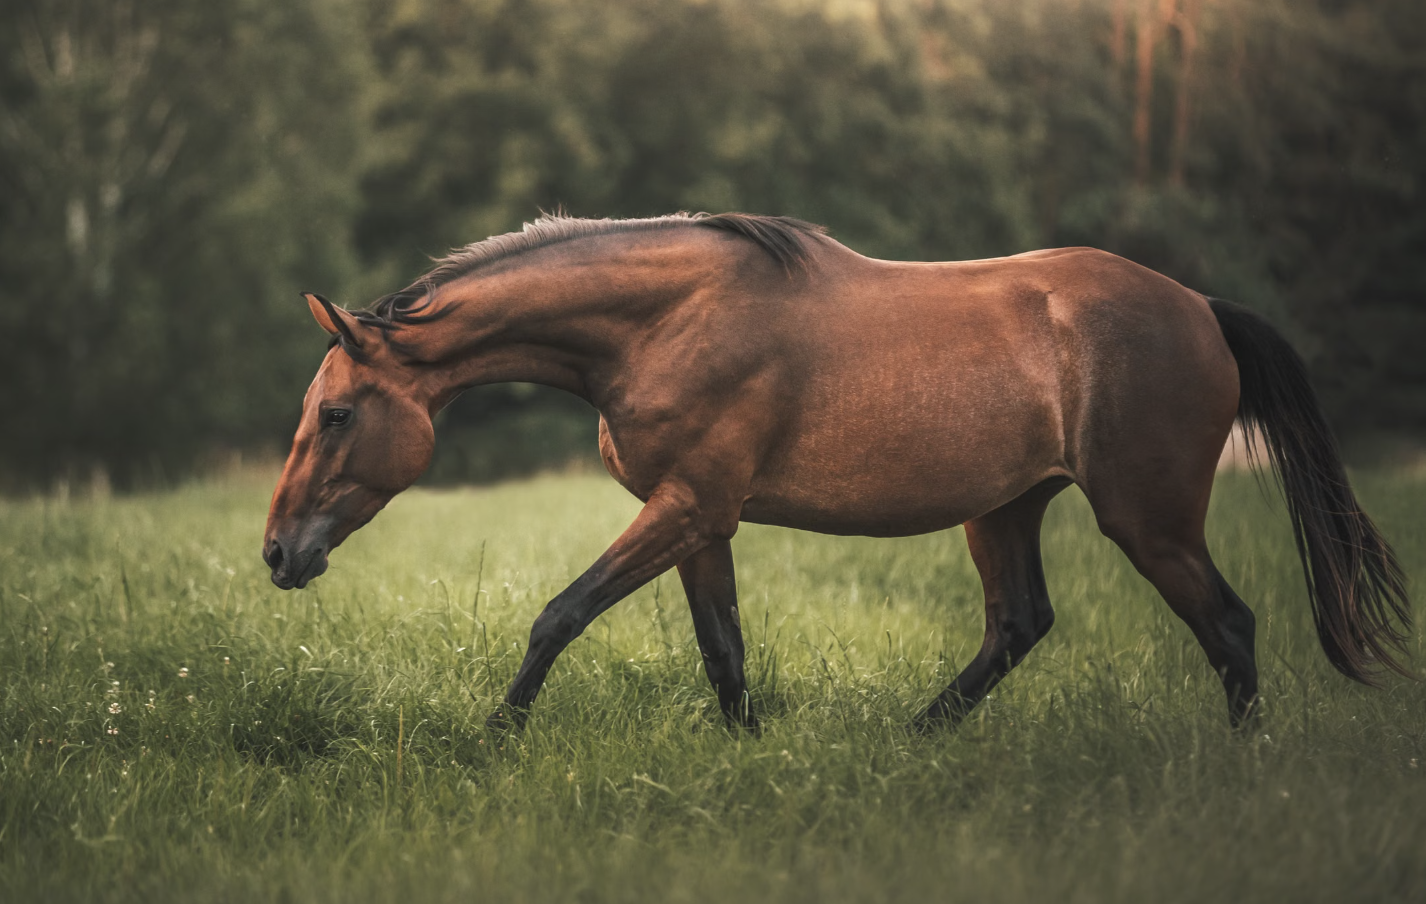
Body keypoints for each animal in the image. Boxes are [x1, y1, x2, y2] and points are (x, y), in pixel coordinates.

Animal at [262, 212, 1411, 732]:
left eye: (336, 412)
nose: (277, 553)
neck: (664, 323)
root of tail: (1201, 309)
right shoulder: (701, 518)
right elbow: (722, 650)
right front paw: (749, 752)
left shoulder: (687, 507)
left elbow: (559, 613)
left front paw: (496, 735)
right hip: (1005, 508)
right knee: (1019, 623)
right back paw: (914, 738)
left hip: (1148, 519)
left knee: (1229, 627)